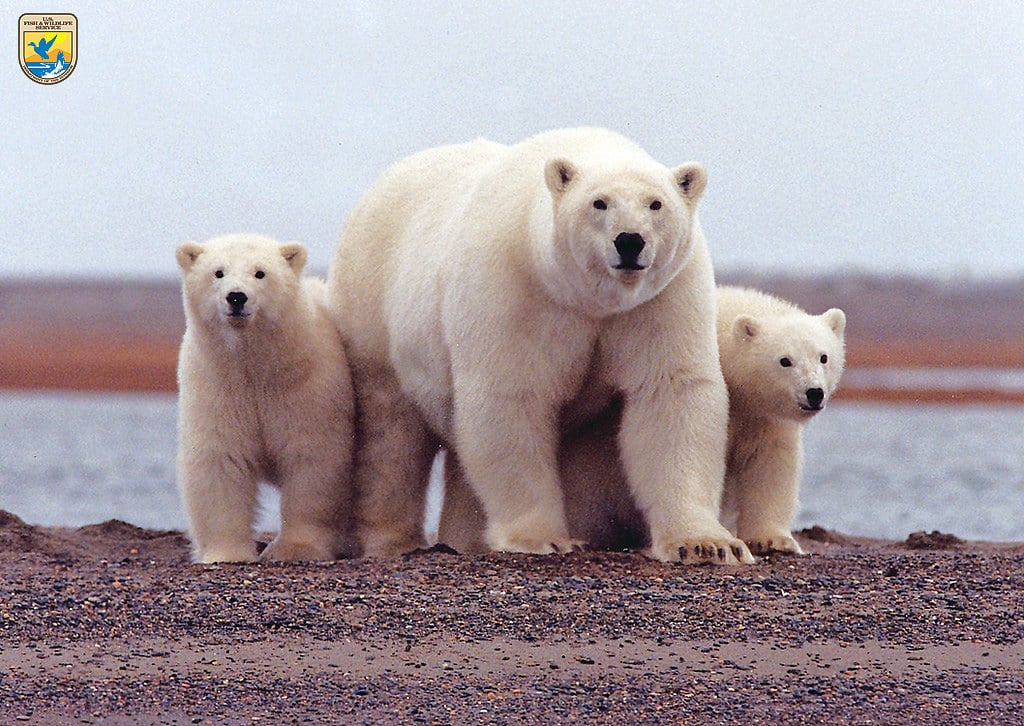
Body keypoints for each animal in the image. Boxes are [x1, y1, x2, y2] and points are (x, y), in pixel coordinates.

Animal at [176, 233, 356, 563]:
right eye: (218, 272)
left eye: (260, 273)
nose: (236, 297)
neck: (256, 368)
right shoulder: (217, 387)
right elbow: (220, 460)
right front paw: (227, 553)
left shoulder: (307, 388)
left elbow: (312, 460)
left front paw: (295, 549)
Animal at [328, 127, 753, 564]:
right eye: (599, 202)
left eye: (656, 203)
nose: (629, 241)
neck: (587, 299)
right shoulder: (515, 289)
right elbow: (511, 398)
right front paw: (543, 538)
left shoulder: (660, 299)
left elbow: (671, 393)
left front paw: (707, 544)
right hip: (374, 309)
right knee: (390, 433)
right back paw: (393, 540)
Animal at [438, 285, 846, 558]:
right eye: (784, 360)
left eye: (823, 356)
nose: (813, 393)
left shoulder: (762, 417)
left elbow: (770, 464)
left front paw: (773, 539)